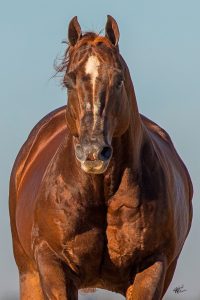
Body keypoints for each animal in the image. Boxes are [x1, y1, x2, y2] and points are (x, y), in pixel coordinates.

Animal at [9, 16, 192, 300]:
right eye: (69, 81)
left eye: (118, 79)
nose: (93, 151)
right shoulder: (52, 266)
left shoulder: (152, 267)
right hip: (29, 274)